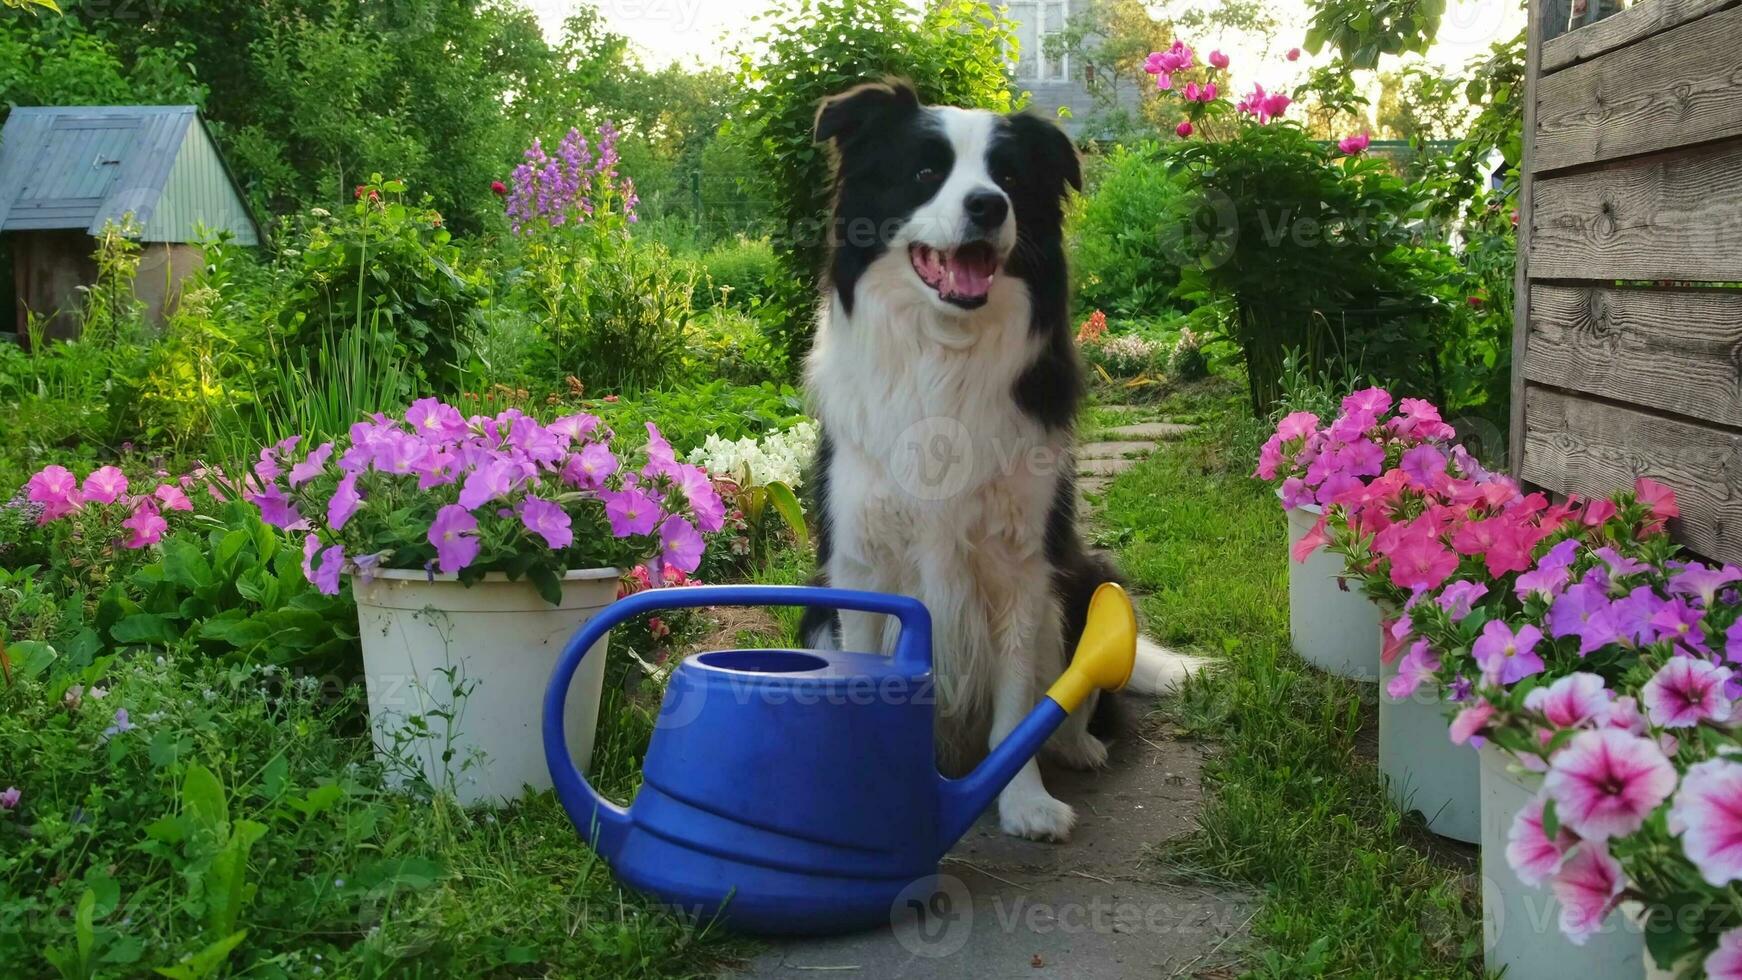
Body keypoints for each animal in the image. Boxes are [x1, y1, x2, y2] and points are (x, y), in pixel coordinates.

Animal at [801, 82, 1198, 842]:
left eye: (1010, 177)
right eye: (926, 170)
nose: (989, 206)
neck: (943, 353)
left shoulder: (1020, 565)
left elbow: (1020, 706)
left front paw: (1024, 802)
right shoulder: (860, 560)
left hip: (1082, 580)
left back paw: (1077, 745)